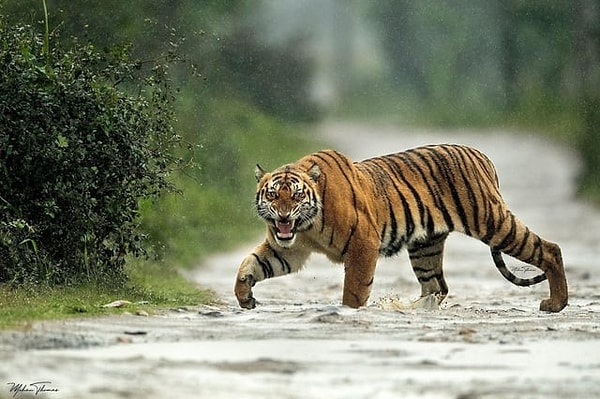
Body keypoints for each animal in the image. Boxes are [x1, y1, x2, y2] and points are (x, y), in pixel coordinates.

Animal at [233, 145, 568, 314]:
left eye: (296, 195)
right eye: (273, 195)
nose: (283, 214)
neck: (306, 225)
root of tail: (481, 155)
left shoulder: (363, 243)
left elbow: (354, 289)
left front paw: (349, 312)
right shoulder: (288, 249)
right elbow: (249, 264)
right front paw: (245, 298)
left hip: (492, 222)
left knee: (548, 248)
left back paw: (555, 304)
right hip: (425, 246)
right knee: (437, 286)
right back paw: (413, 309)